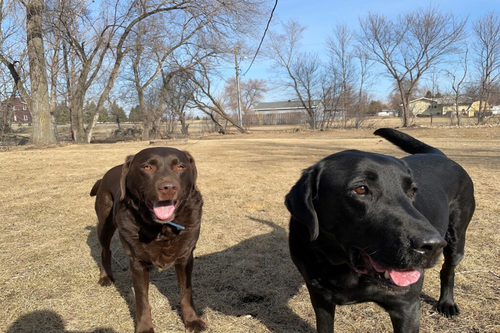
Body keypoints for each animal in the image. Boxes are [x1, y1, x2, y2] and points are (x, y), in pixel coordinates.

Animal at [288, 128, 474, 330]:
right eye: (361, 189)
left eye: (412, 191)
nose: (432, 245)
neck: (343, 268)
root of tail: (439, 155)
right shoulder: (320, 299)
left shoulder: (407, 308)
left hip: (456, 239)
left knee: (448, 269)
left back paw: (447, 303)